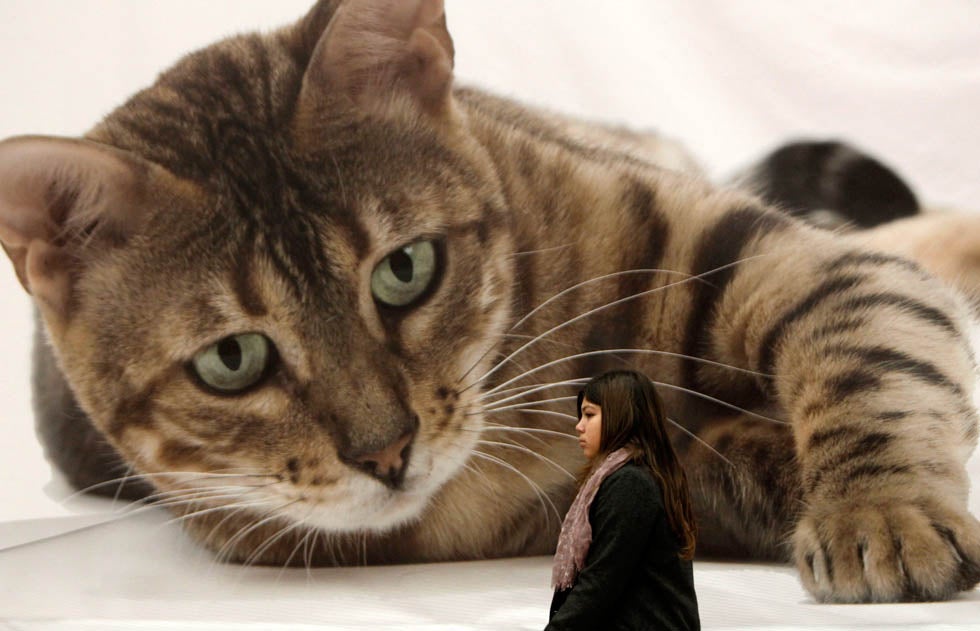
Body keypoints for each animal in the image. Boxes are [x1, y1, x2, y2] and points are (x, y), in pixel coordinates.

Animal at [0, 0, 976, 604]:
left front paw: (879, 513)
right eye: (231, 360)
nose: (387, 452)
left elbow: (873, 353)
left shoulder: (774, 255)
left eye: (405, 269)